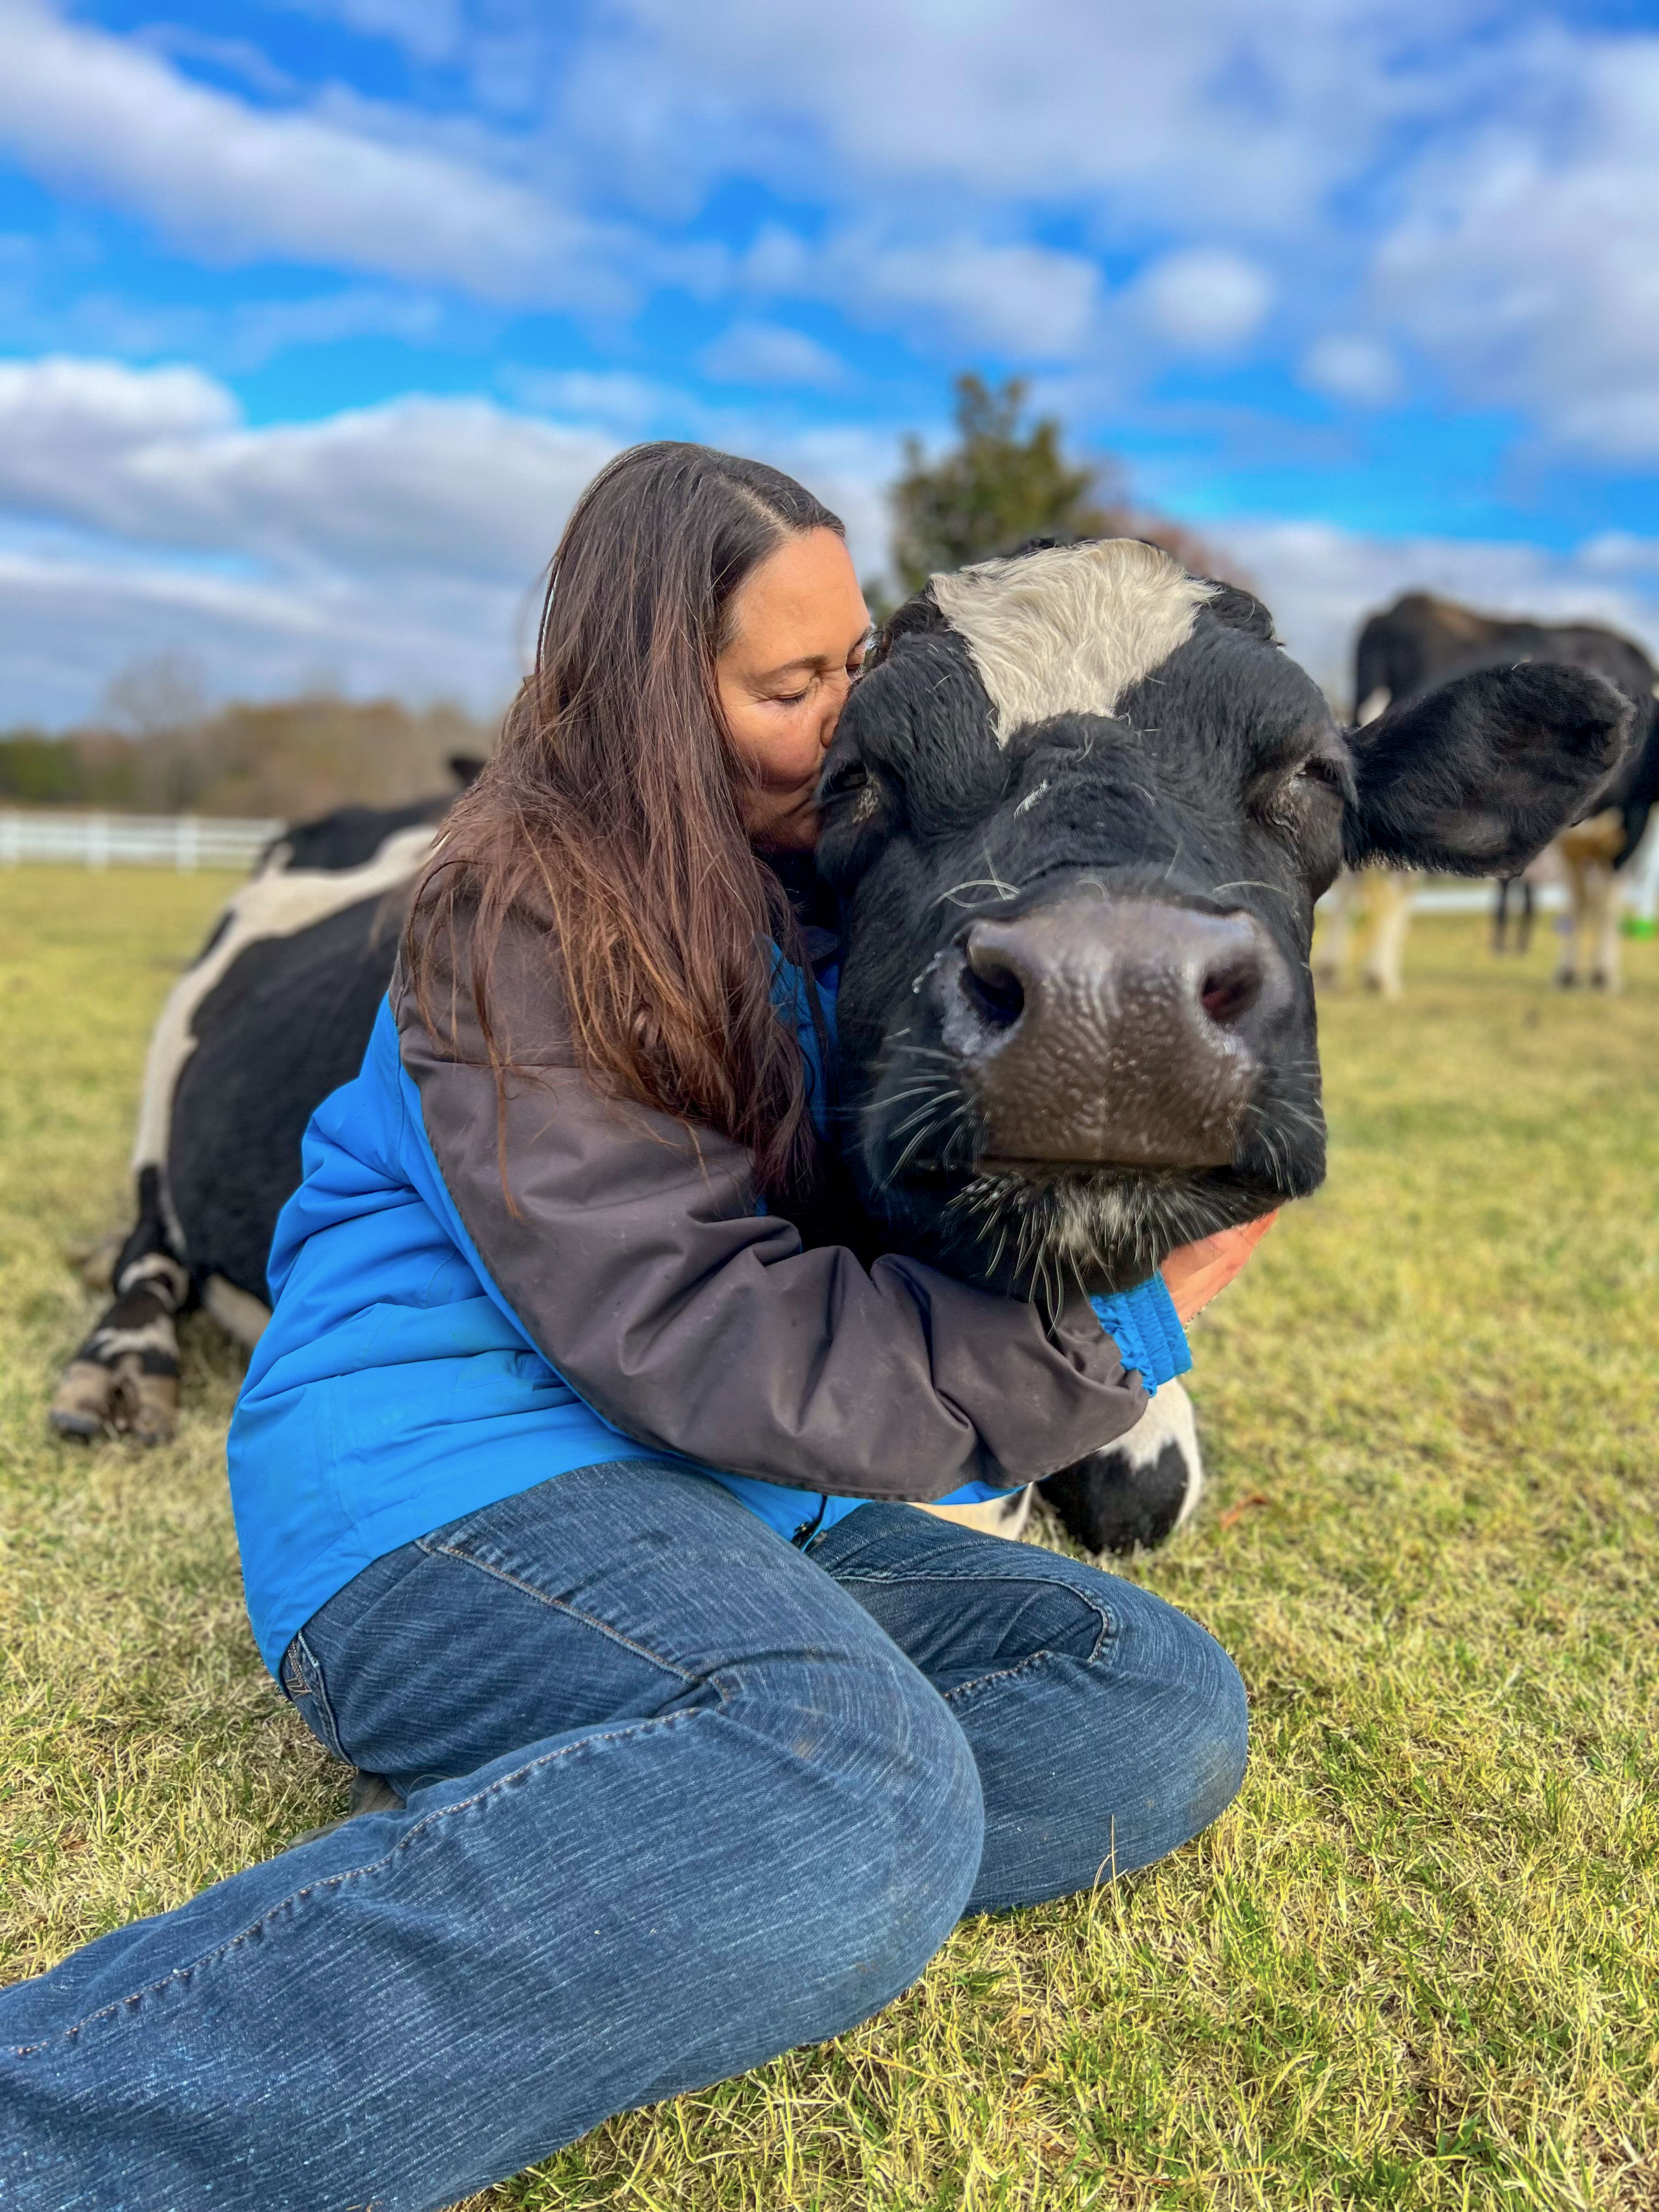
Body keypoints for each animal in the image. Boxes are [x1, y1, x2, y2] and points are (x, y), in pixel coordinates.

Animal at [48, 541, 1628, 1557]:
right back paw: (115, 1370)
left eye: (1312, 774)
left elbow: (1143, 1491)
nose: (1111, 997)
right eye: (858, 777)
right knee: (144, 1248)